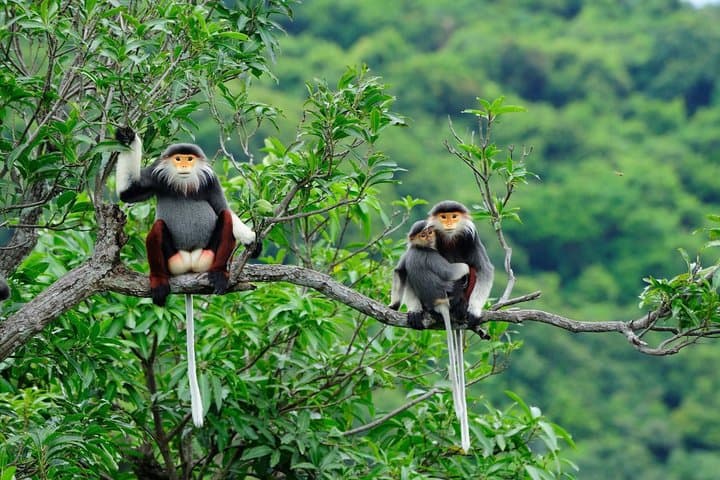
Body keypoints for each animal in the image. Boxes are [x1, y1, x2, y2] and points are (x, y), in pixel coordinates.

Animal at [114, 126, 260, 428]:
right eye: (178, 158)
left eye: (189, 159)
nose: (183, 166)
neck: (183, 184)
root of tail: (191, 268)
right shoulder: (155, 177)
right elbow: (127, 193)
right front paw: (128, 137)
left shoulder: (211, 183)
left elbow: (223, 207)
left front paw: (252, 238)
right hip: (172, 262)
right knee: (157, 228)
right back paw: (159, 282)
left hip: (208, 255)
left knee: (225, 217)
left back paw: (220, 276)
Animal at [389, 220, 472, 451]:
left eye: (428, 232)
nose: (428, 237)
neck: (421, 248)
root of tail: (440, 305)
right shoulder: (433, 257)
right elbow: (455, 270)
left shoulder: (407, 254)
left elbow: (399, 271)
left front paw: (393, 305)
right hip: (451, 294)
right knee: (458, 279)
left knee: (406, 278)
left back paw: (417, 312)